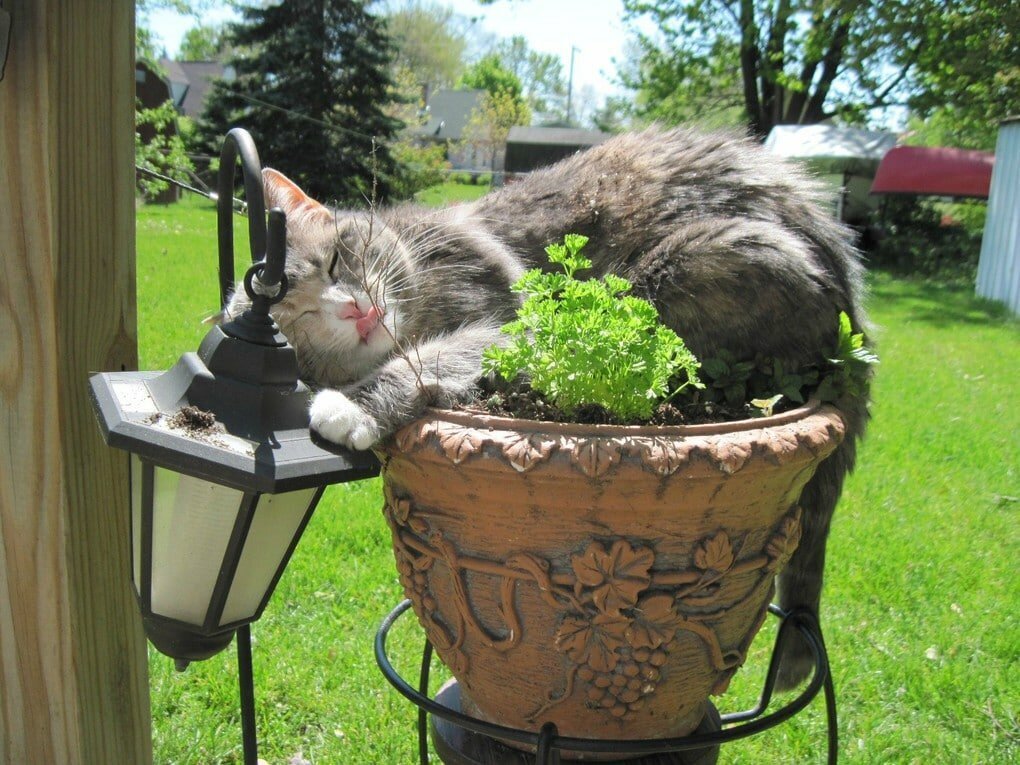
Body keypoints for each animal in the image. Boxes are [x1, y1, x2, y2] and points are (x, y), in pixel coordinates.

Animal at [227, 125, 873, 689]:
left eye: (338, 260)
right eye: (301, 324)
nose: (354, 311)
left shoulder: (511, 324)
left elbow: (439, 355)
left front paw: (350, 408)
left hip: (684, 270)